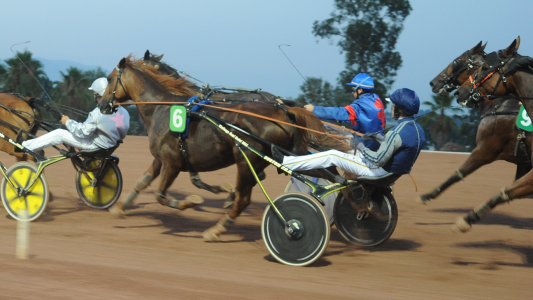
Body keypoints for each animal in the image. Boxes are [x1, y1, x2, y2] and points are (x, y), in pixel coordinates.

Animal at [98, 55, 350, 240]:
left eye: (109, 79)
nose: (101, 104)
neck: (162, 107)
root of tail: (284, 110)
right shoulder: (161, 159)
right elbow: (143, 181)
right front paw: (120, 207)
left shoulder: (173, 162)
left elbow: (162, 195)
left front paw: (192, 201)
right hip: (291, 154)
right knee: (331, 173)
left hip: (246, 158)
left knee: (244, 199)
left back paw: (217, 229)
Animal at [418, 40, 528, 204]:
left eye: (456, 61)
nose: (433, 82)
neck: (502, 106)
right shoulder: (523, 163)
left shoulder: (485, 150)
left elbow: (459, 173)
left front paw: (429, 194)